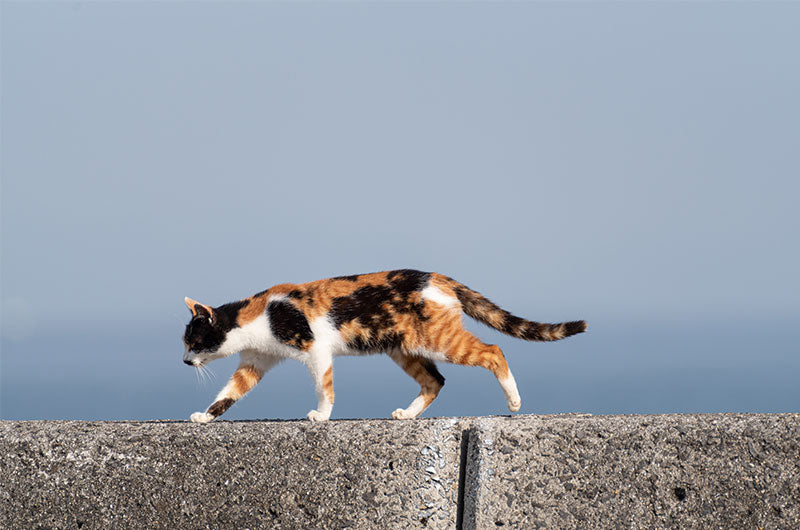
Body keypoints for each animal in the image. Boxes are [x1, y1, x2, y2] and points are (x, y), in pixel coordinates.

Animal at [186, 268, 588, 420]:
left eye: (194, 340)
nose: (185, 362)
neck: (260, 317)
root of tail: (439, 278)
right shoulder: (255, 361)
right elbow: (231, 392)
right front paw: (205, 416)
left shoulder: (315, 349)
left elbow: (324, 386)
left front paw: (322, 415)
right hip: (403, 349)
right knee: (435, 381)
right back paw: (407, 415)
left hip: (438, 341)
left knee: (493, 352)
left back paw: (514, 401)